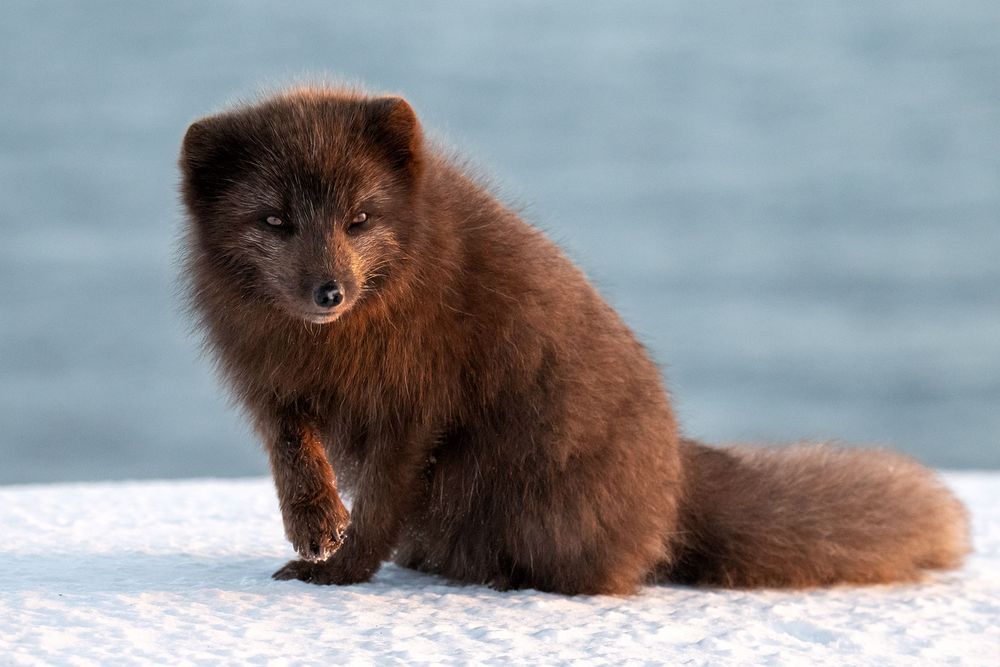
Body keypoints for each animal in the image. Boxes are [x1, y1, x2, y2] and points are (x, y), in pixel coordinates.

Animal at [178, 85, 968, 596]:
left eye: (361, 218)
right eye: (275, 221)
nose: (329, 292)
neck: (334, 344)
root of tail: (676, 480)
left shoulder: (417, 403)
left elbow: (380, 500)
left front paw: (339, 571)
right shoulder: (268, 379)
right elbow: (291, 448)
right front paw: (315, 523)